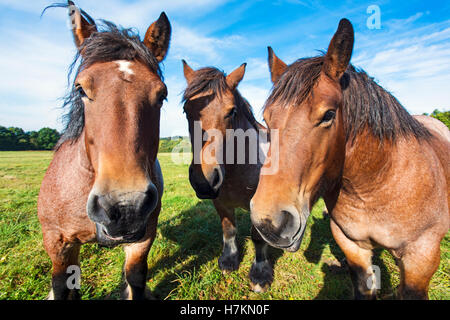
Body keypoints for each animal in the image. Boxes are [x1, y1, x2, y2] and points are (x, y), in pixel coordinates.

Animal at [38, 1, 171, 298]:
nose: (125, 207)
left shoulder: (143, 237)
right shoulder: (58, 244)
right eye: (80, 89)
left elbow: (135, 278)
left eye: (162, 94)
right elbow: (61, 286)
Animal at [182, 60, 274, 292]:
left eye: (232, 111)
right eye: (186, 111)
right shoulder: (220, 202)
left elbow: (258, 238)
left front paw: (260, 274)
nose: (204, 181)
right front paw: (229, 260)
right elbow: (229, 230)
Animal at [250, 18, 450, 298]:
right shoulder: (353, 246)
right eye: (267, 120)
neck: (376, 186)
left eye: (328, 115)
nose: (269, 223)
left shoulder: (420, 260)